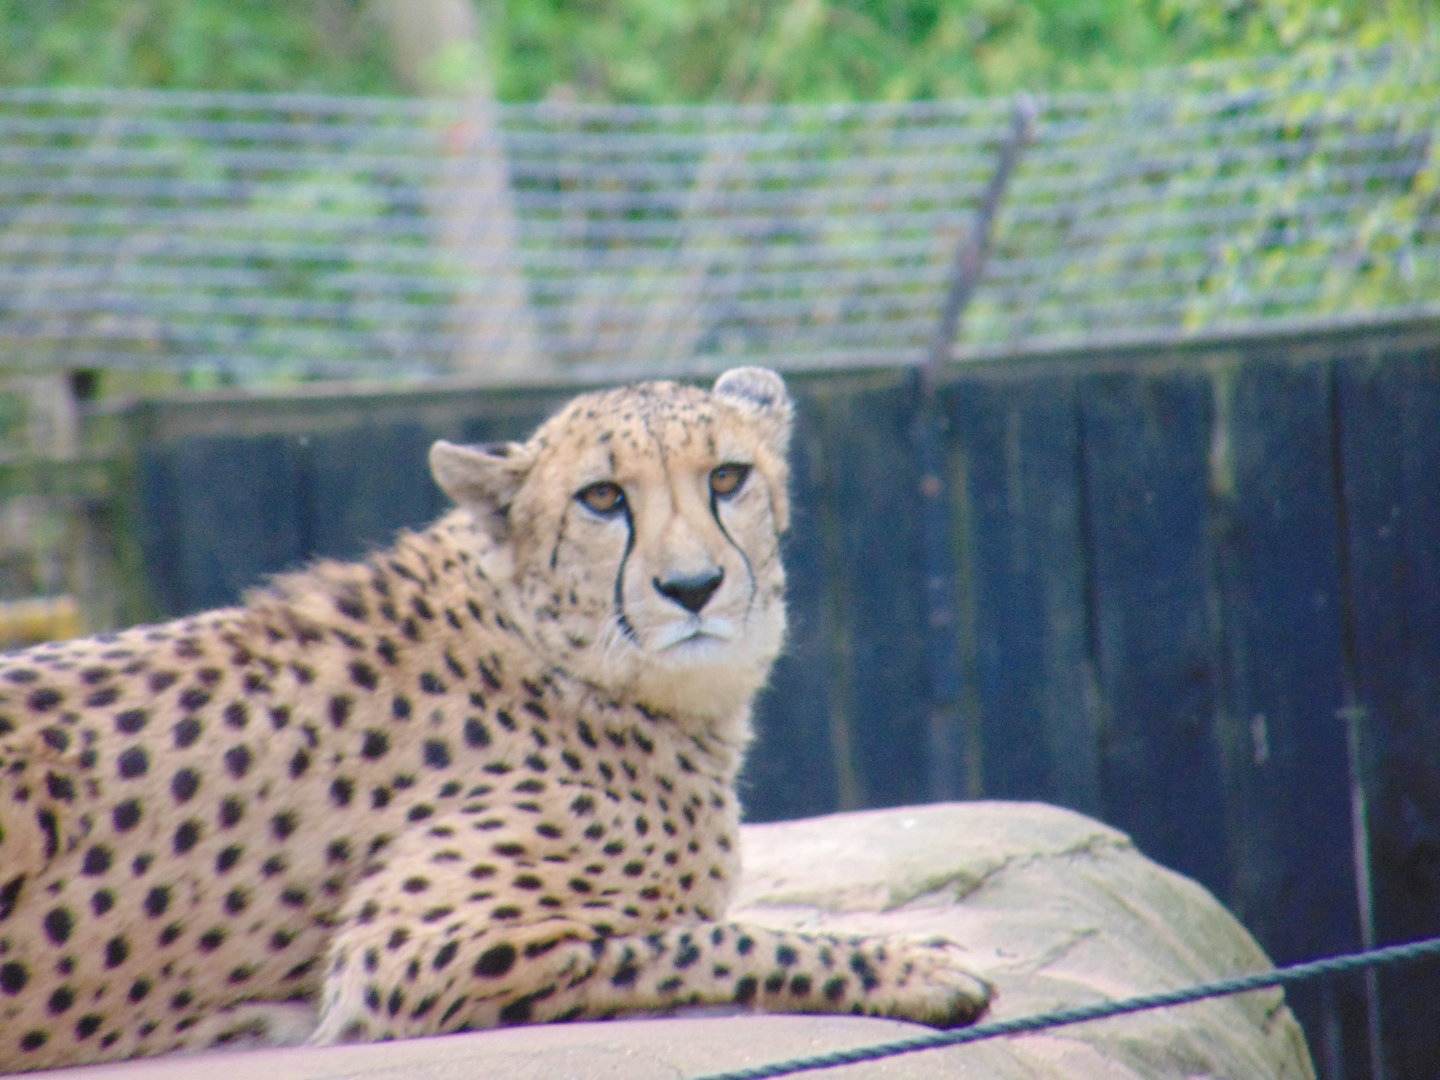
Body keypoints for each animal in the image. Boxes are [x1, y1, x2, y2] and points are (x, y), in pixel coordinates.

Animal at [0, 366, 989, 1071]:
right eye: (603, 498)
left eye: (727, 477)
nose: (693, 587)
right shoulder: (407, 952)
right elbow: (711, 937)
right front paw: (918, 965)